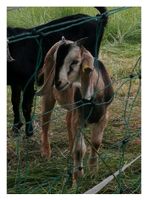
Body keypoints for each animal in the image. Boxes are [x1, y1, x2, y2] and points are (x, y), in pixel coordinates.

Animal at [6, 7, 107, 137]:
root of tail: (96, 19)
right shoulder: (15, 83)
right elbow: (15, 102)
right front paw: (16, 127)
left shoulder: (28, 81)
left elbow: (25, 106)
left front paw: (29, 131)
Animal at [37, 37, 113, 180]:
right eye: (56, 60)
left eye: (75, 61)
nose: (58, 83)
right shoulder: (79, 119)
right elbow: (79, 149)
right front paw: (78, 176)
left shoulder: (103, 116)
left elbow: (96, 142)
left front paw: (93, 172)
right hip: (49, 95)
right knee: (45, 120)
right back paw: (46, 152)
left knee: (68, 119)